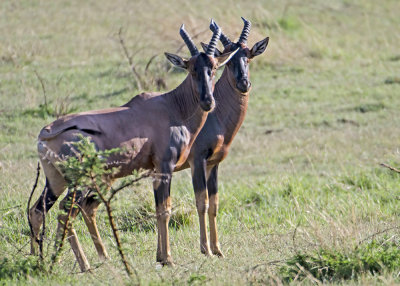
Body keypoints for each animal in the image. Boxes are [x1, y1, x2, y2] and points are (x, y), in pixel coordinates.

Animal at [29, 21, 239, 270]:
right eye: (191, 69)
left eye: (214, 68)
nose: (208, 102)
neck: (172, 106)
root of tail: (47, 132)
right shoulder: (165, 167)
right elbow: (165, 210)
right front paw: (169, 259)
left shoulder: (154, 170)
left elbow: (159, 209)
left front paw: (161, 257)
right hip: (79, 182)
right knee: (65, 213)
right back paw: (84, 266)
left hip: (55, 181)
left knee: (37, 210)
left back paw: (40, 261)